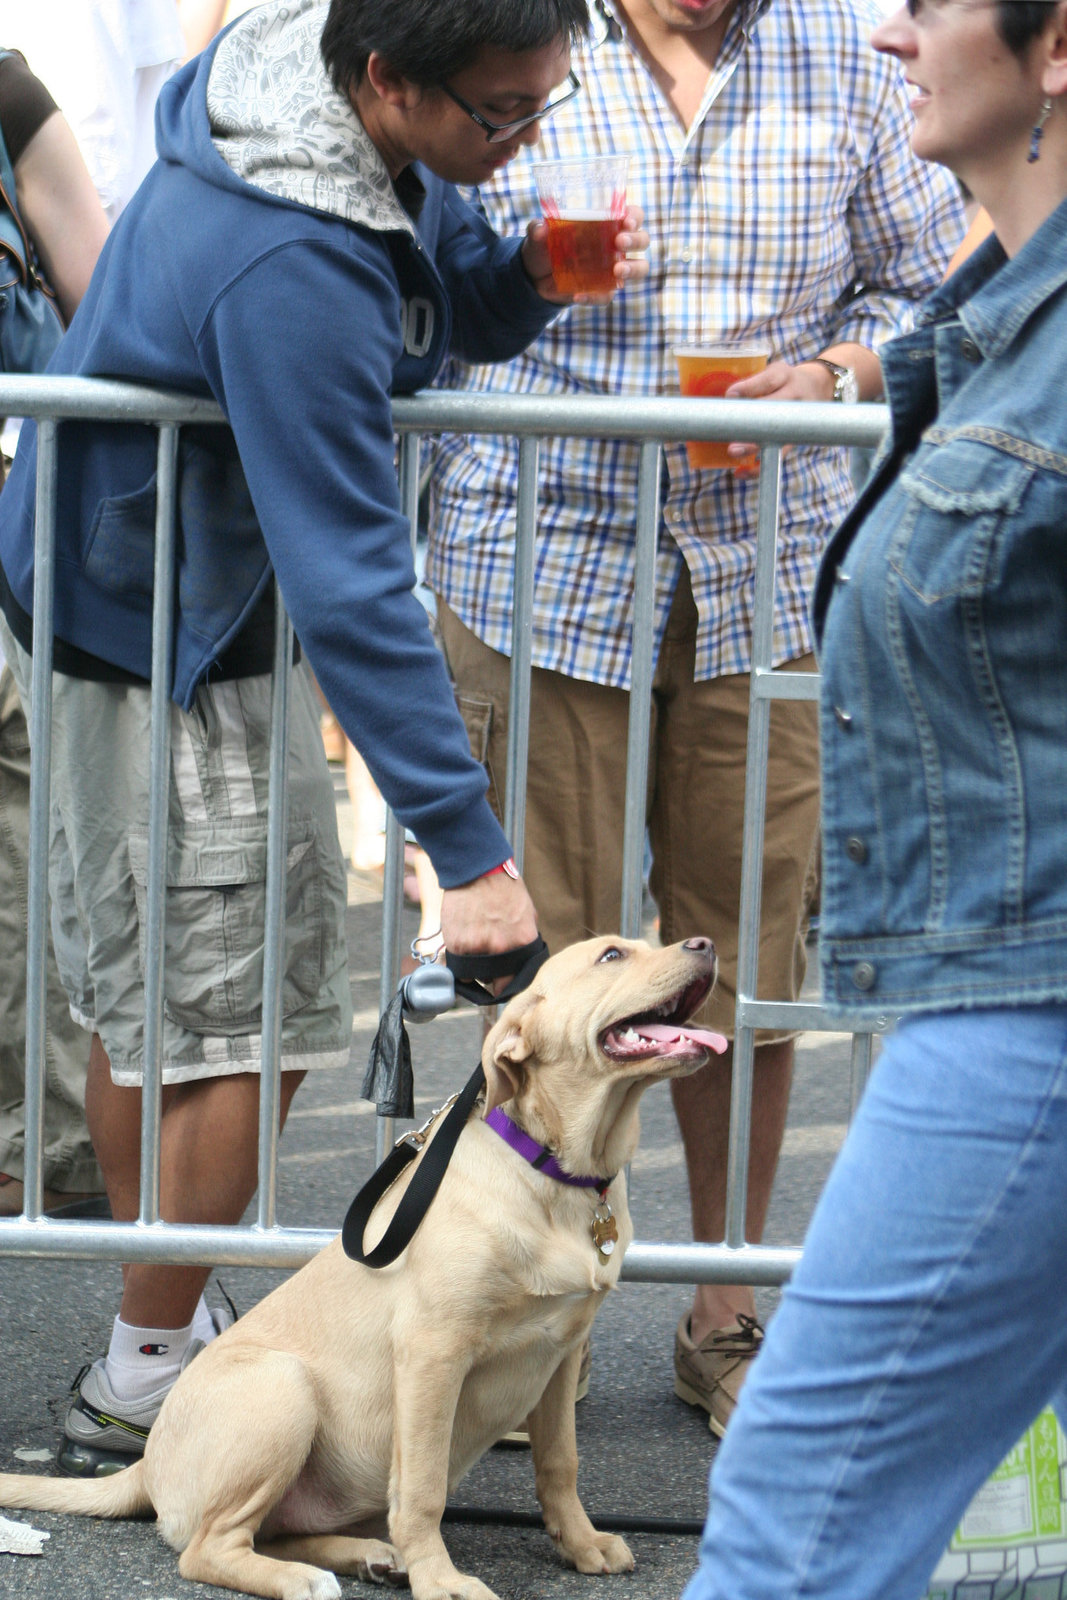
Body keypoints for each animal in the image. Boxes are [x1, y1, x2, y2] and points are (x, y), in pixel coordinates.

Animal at [0, 934, 726, 1600]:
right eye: (611, 956)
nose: (704, 944)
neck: (559, 1172)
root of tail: (148, 1465)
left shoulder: (560, 1352)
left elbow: (560, 1464)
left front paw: (580, 1544)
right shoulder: (433, 1351)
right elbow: (425, 1489)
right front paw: (443, 1581)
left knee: (275, 1530)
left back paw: (365, 1557)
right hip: (282, 1391)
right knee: (207, 1547)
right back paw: (308, 1577)